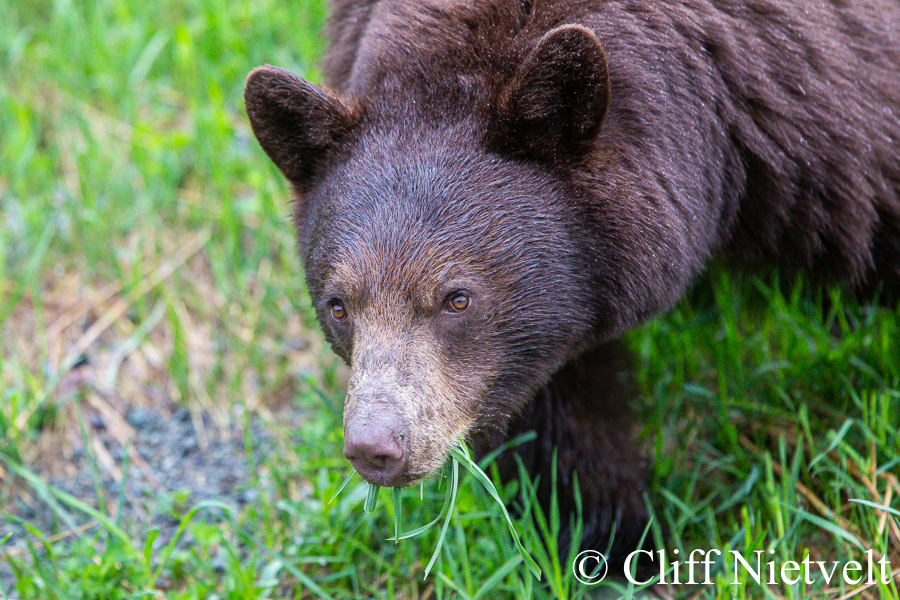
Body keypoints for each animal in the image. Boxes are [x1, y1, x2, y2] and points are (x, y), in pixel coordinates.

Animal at [243, 0, 896, 568]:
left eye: (457, 298)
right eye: (338, 307)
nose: (375, 447)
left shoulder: (816, 109)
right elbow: (555, 411)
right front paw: (606, 536)